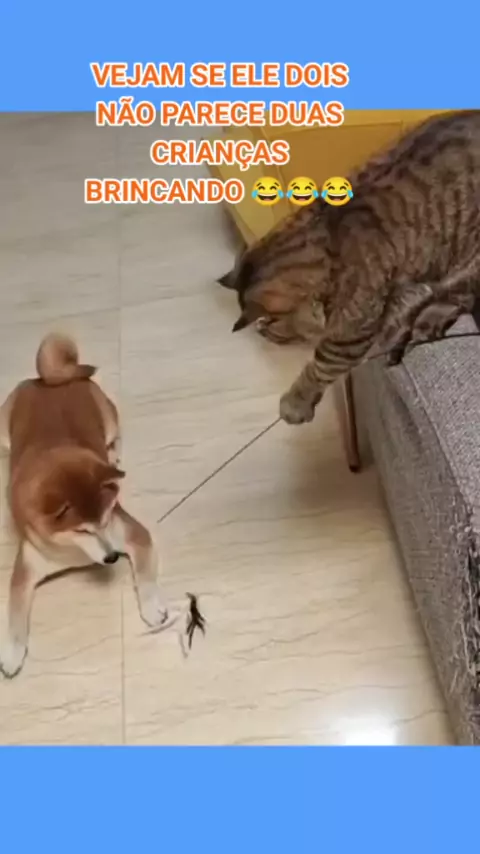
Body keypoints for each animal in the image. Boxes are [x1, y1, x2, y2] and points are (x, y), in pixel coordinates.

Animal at [0, 333, 169, 678]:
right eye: (82, 530)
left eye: (105, 519)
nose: (113, 557)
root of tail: (43, 379)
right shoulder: (26, 568)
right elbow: (14, 613)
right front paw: (11, 653)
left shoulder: (133, 534)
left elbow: (145, 577)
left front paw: (151, 606)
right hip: (2, 430)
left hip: (109, 418)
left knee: (113, 441)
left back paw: (114, 459)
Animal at [218, 110, 480, 424]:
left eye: (269, 323)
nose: (261, 331)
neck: (326, 239)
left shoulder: (350, 335)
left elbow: (320, 366)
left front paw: (296, 402)